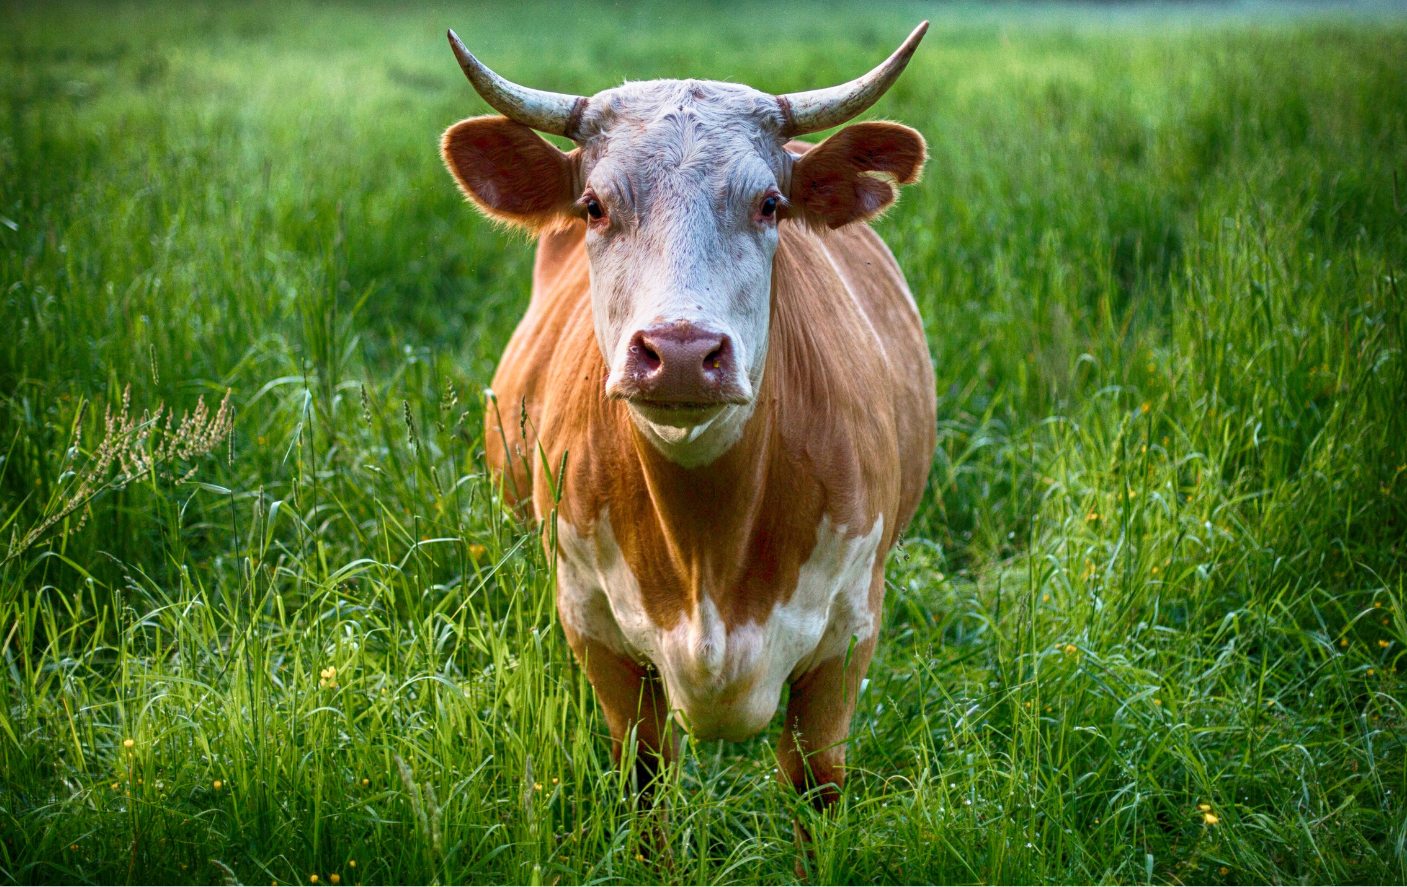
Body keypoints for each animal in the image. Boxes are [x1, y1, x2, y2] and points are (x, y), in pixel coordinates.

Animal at [439, 23, 937, 822]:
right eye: (593, 205)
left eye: (770, 203)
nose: (678, 352)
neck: (708, 543)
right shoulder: (594, 629)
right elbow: (646, 783)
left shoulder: (848, 634)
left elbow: (815, 786)